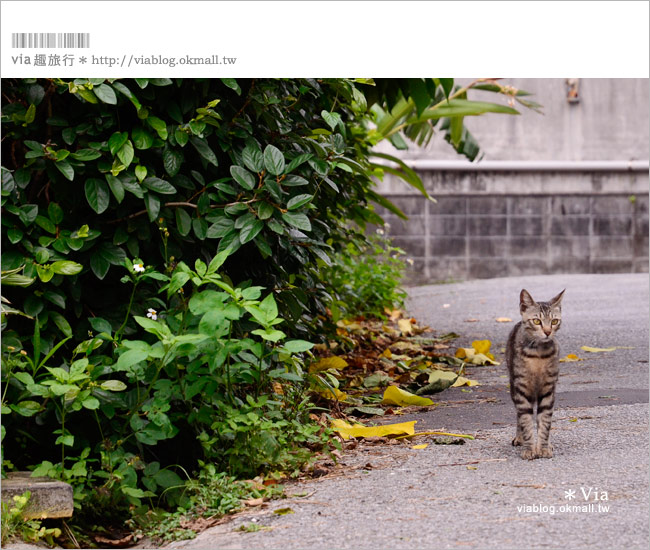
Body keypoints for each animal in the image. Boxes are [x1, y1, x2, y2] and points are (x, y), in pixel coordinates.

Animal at [504, 288, 564, 462]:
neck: (539, 354)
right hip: (514, 386)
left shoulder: (548, 389)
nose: (548, 332)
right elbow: (526, 420)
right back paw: (520, 437)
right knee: (520, 416)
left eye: (554, 321)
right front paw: (530, 449)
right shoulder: (522, 389)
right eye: (537, 321)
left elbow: (545, 421)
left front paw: (543, 448)